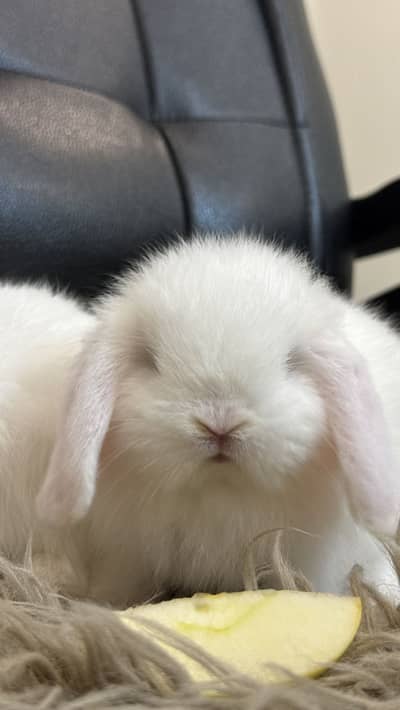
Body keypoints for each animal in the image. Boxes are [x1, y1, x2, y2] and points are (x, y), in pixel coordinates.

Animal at [2, 233, 400, 608]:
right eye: (150, 360)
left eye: (292, 361)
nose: (220, 423)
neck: (219, 491)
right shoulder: (129, 555)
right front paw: (102, 604)